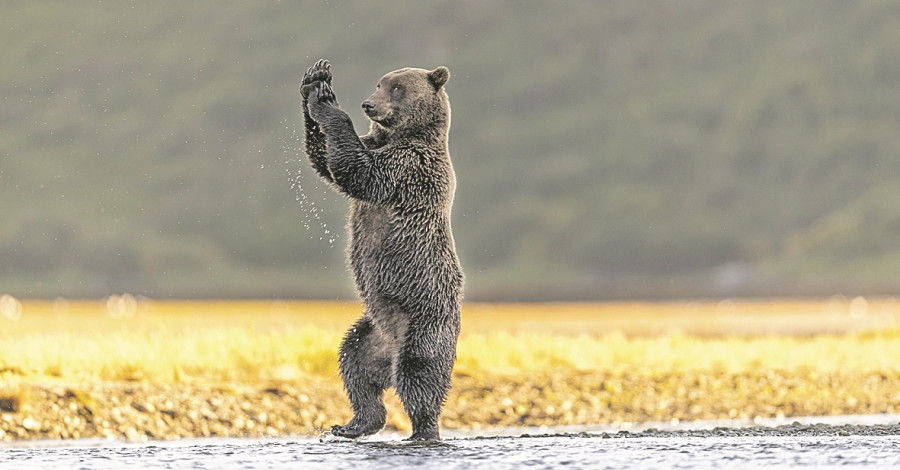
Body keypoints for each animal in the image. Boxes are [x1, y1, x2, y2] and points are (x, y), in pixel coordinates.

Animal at [298, 59, 464, 440]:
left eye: (397, 88)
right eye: (380, 83)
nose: (368, 105)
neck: (401, 136)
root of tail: (389, 349)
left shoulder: (409, 167)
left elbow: (358, 172)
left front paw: (328, 102)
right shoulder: (376, 145)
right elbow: (327, 161)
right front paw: (315, 81)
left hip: (424, 317)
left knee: (420, 375)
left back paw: (422, 429)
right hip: (369, 331)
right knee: (354, 367)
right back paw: (354, 423)